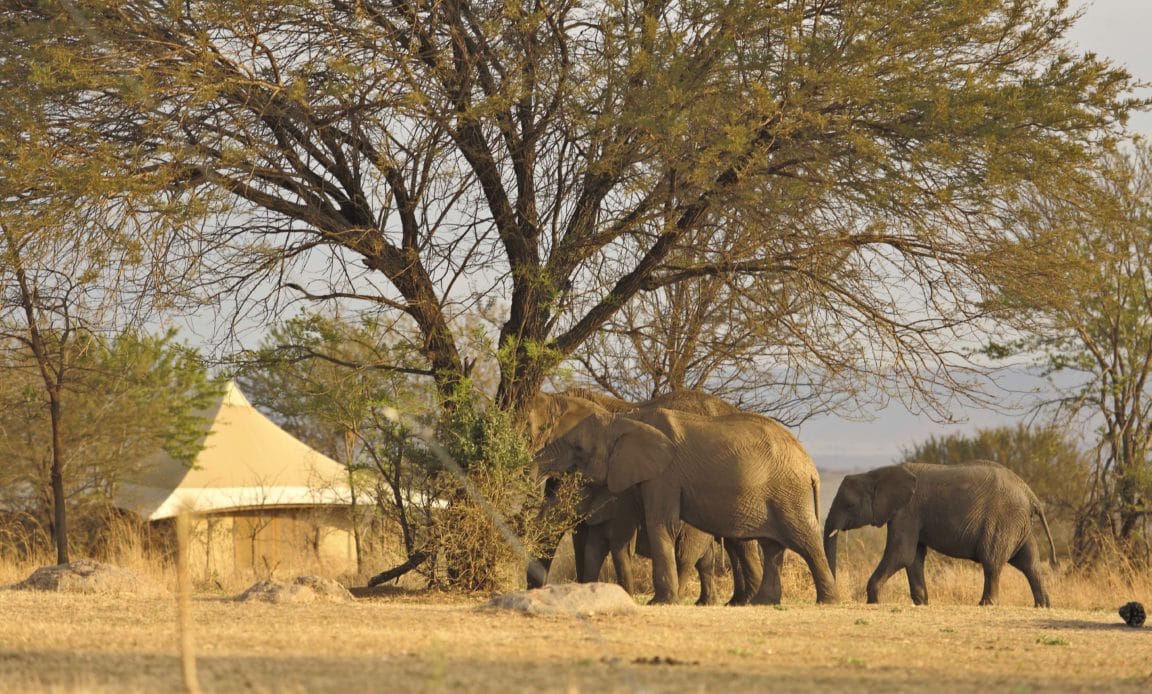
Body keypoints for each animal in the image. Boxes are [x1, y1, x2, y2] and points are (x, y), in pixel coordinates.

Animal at [529, 408, 838, 604]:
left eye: (579, 449)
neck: (628, 419)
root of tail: (811, 466)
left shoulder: (664, 474)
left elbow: (660, 524)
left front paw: (660, 603)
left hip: (789, 493)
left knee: (804, 540)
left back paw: (828, 601)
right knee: (772, 546)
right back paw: (762, 603)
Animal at [824, 458, 1055, 604]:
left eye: (849, 505)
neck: (876, 474)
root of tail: (1030, 494)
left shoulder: (907, 511)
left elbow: (901, 553)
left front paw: (874, 601)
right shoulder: (910, 514)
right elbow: (913, 557)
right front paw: (921, 602)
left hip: (1003, 520)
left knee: (992, 561)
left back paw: (986, 604)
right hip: (1018, 523)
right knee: (1029, 562)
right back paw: (1042, 605)